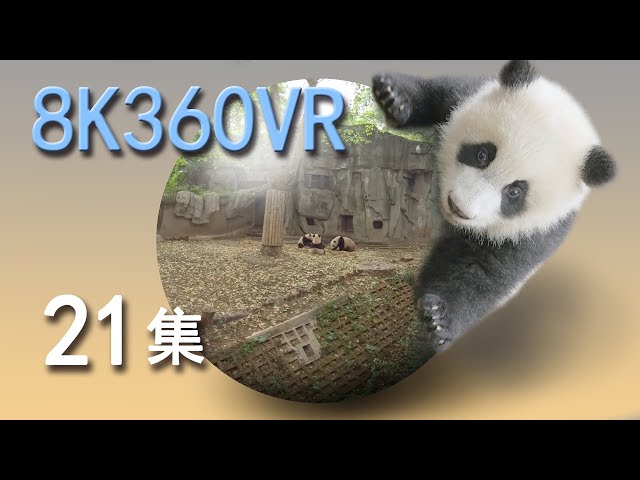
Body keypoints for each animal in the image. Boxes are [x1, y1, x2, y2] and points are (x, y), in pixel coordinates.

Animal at [373, 60, 616, 355]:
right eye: (482, 154)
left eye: (514, 192)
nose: (459, 207)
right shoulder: (466, 94)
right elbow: (438, 92)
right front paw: (394, 97)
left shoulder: (535, 232)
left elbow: (482, 272)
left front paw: (439, 319)